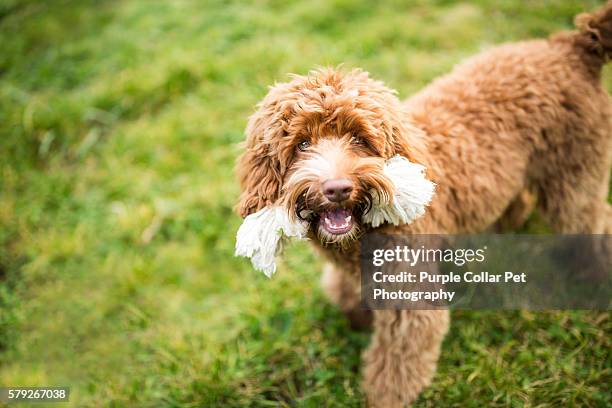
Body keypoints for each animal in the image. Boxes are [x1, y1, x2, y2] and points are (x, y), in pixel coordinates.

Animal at [235, 2, 612, 404]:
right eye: (302, 144)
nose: (337, 189)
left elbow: (399, 359)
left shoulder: (408, 290)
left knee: (592, 221)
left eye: (359, 138)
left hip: (574, 177)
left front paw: (383, 398)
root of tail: (572, 47)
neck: (362, 232)